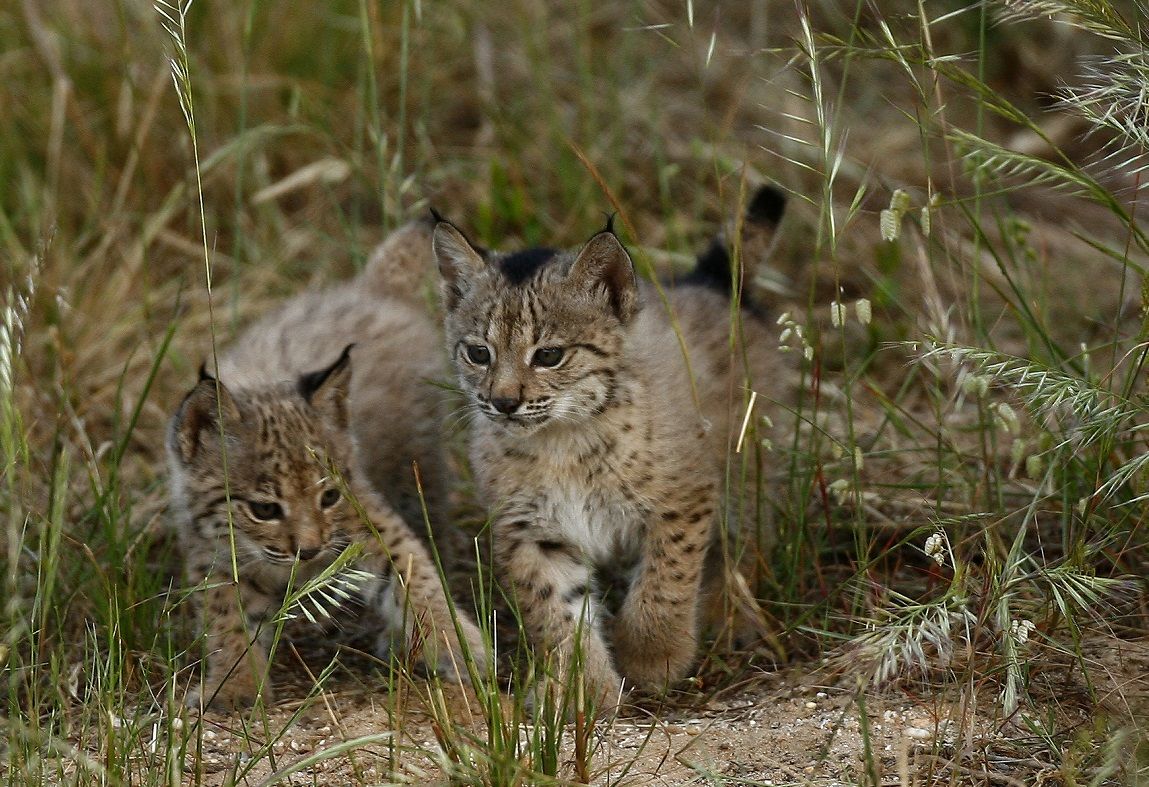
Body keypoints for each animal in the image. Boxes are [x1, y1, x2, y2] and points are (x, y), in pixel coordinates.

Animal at [167, 222, 482, 712]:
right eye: (264, 509)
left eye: (329, 497)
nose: (310, 551)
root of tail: (367, 290)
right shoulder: (214, 554)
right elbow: (225, 617)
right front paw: (235, 686)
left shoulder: (369, 520)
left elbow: (416, 577)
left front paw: (459, 645)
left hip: (415, 469)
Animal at [434, 187, 785, 707]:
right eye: (478, 353)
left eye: (549, 356)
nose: (503, 403)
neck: (562, 436)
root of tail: (709, 282)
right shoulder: (530, 529)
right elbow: (554, 612)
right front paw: (581, 692)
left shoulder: (684, 499)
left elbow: (665, 583)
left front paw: (653, 659)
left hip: (748, 468)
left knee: (742, 545)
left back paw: (732, 617)